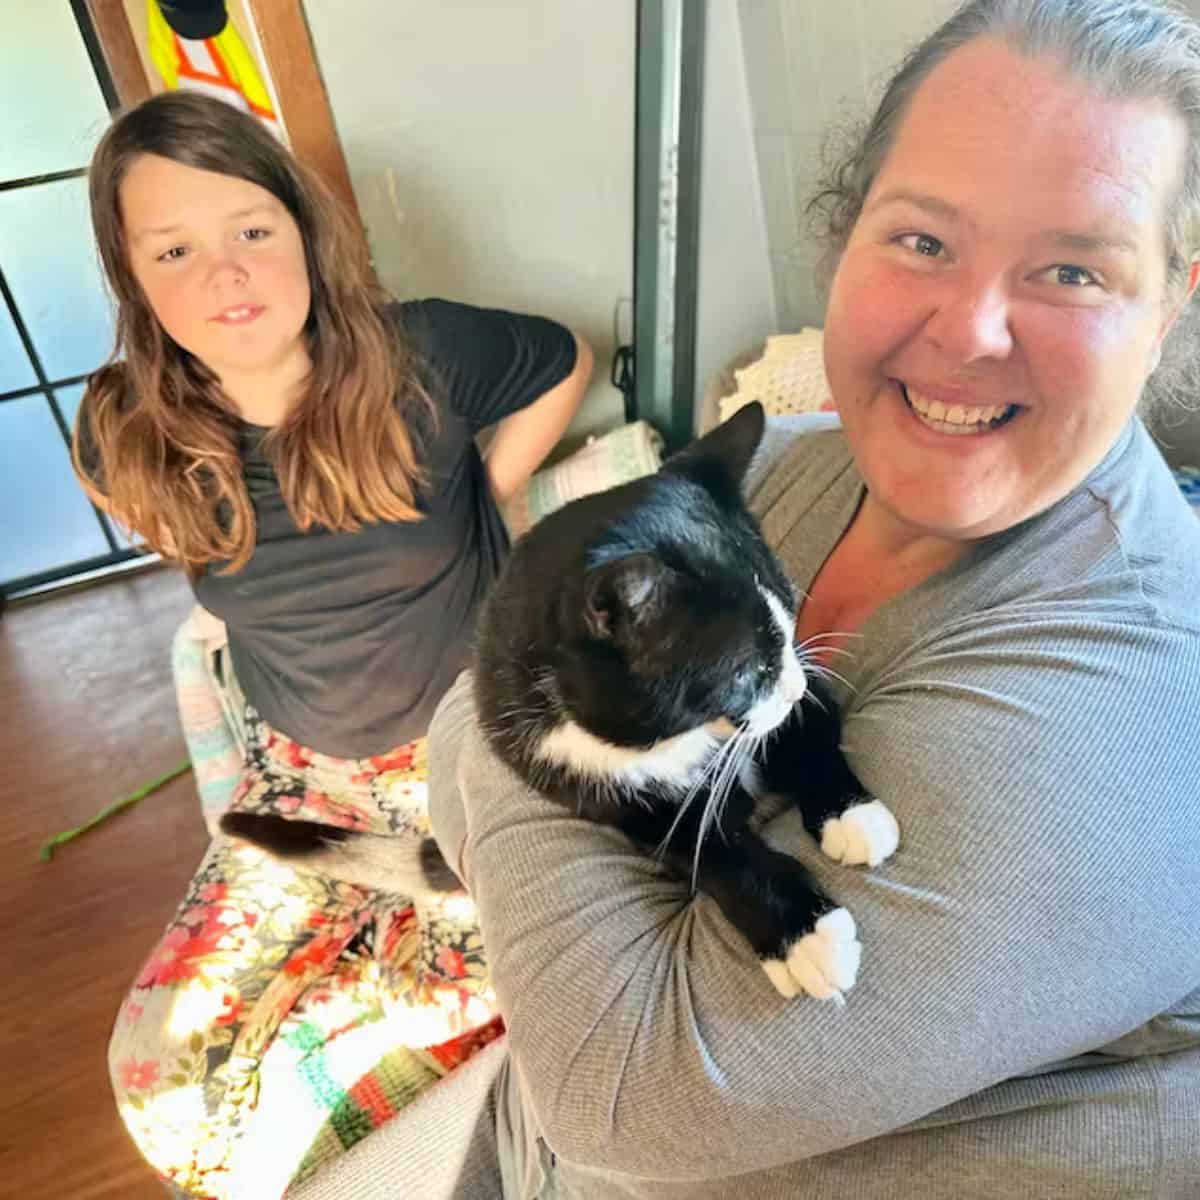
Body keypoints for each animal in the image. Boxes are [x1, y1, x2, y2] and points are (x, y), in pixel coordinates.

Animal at [472, 403, 897, 1003]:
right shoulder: (585, 777)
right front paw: (806, 936)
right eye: (744, 671)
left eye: (790, 619)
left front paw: (852, 815)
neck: (680, 737)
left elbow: (807, 732)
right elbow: (708, 850)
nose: (789, 688)